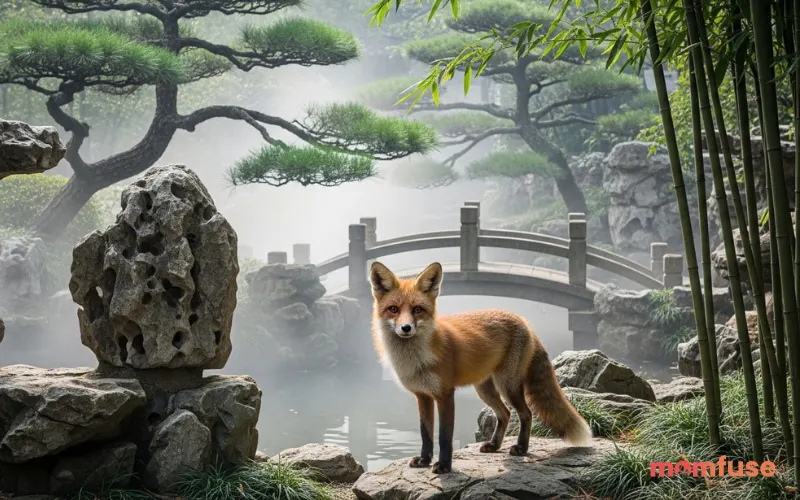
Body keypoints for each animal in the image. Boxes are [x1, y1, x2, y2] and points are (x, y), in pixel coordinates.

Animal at [369, 260, 592, 474]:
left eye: (417, 309)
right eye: (393, 309)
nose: (406, 328)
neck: (416, 359)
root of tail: (523, 320)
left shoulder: (445, 394)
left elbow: (444, 436)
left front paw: (444, 467)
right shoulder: (422, 396)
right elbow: (426, 434)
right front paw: (424, 460)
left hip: (507, 386)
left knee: (526, 414)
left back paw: (521, 448)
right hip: (484, 389)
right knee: (505, 413)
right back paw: (494, 445)